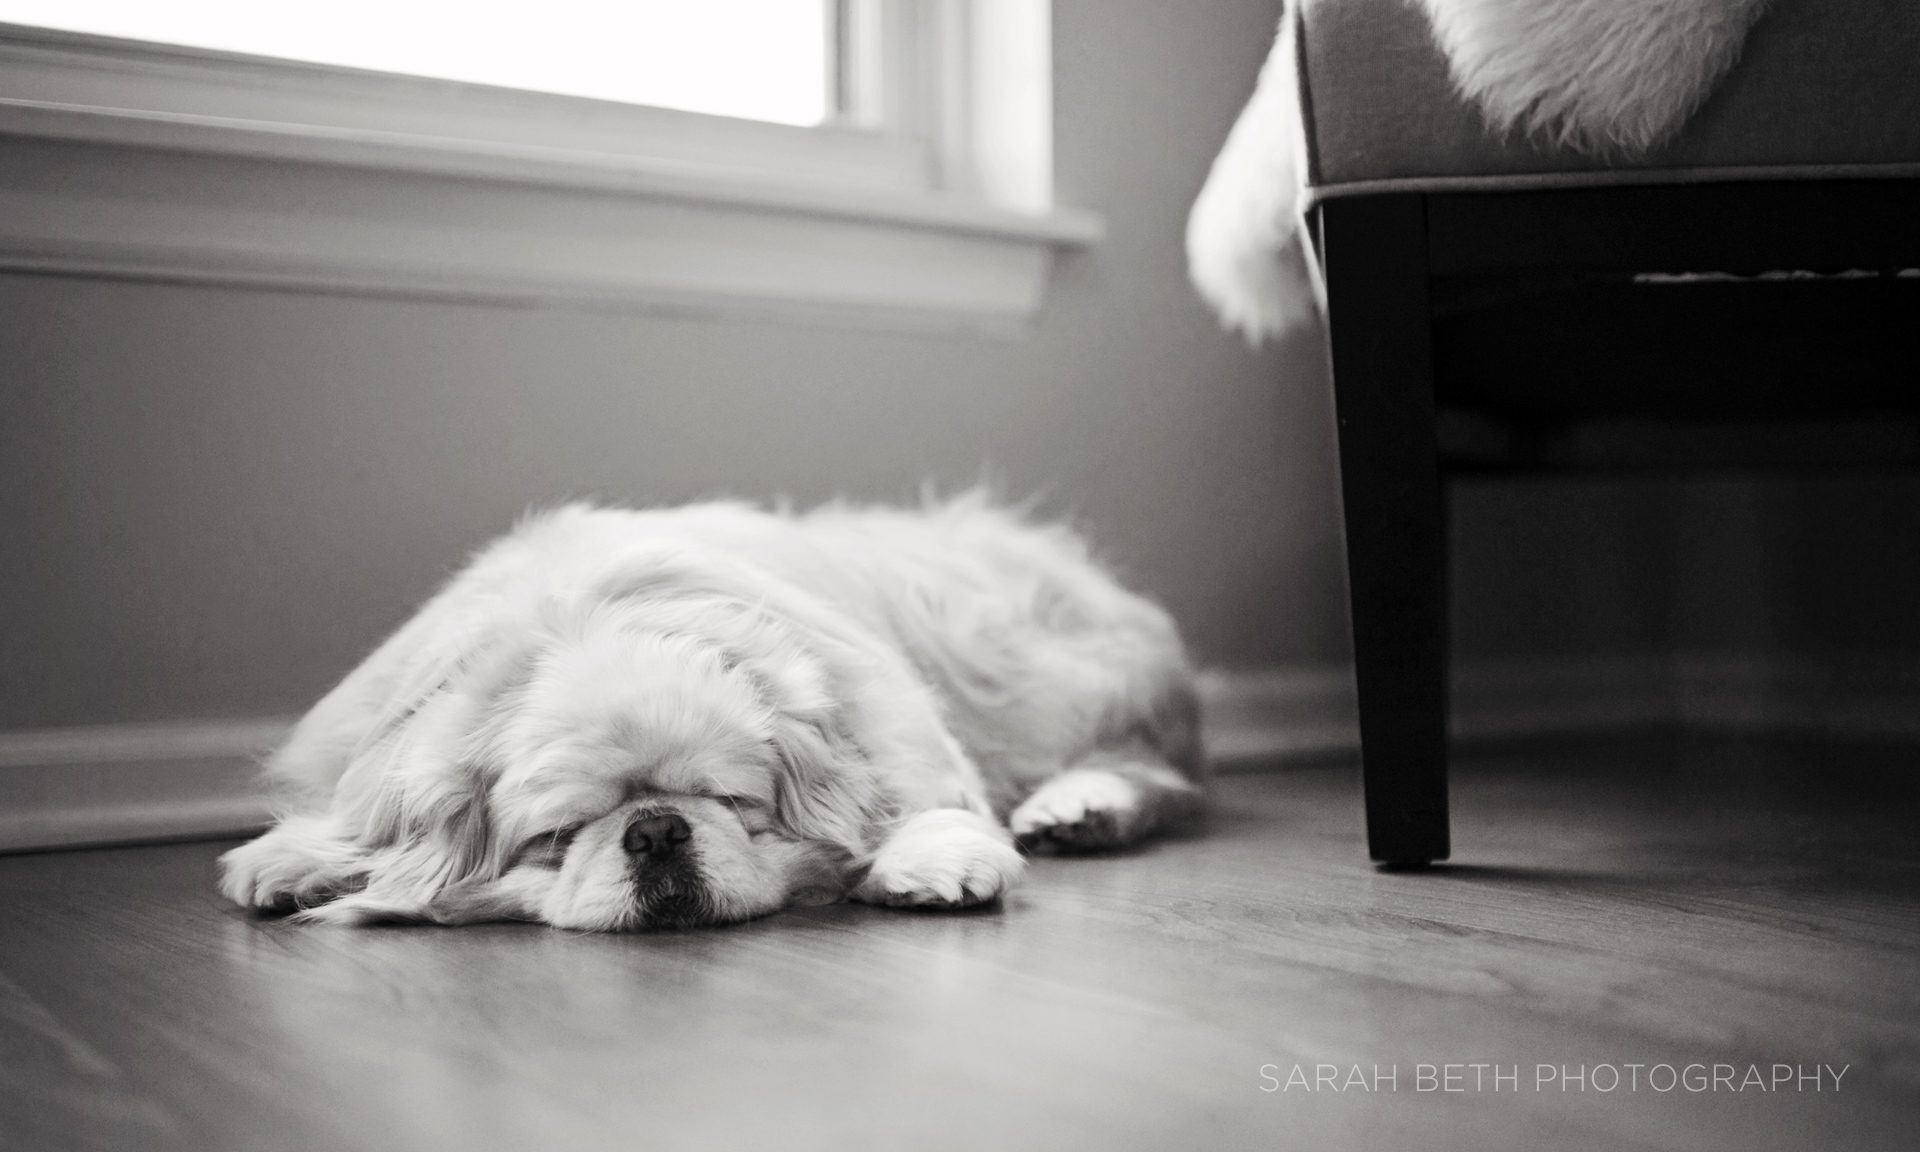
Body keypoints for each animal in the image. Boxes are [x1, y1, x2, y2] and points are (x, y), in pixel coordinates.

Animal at [220, 499, 1198, 933]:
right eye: (560, 836)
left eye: (731, 805)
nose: (655, 829)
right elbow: (351, 834)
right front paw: (298, 863)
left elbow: (914, 802)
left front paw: (932, 862)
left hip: (1032, 678)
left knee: (1157, 774)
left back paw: (1078, 809)